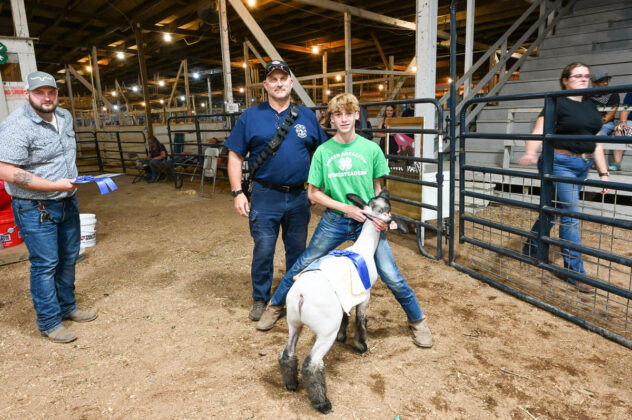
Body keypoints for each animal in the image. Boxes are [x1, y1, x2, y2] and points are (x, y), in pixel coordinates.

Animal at [278, 189, 402, 414]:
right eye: (385, 206)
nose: (386, 191)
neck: (364, 248)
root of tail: (301, 295)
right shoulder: (365, 294)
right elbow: (360, 318)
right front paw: (361, 344)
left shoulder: (347, 297)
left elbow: (348, 314)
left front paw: (343, 337)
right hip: (326, 328)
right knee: (312, 363)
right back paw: (323, 403)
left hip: (293, 322)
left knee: (287, 353)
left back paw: (291, 384)